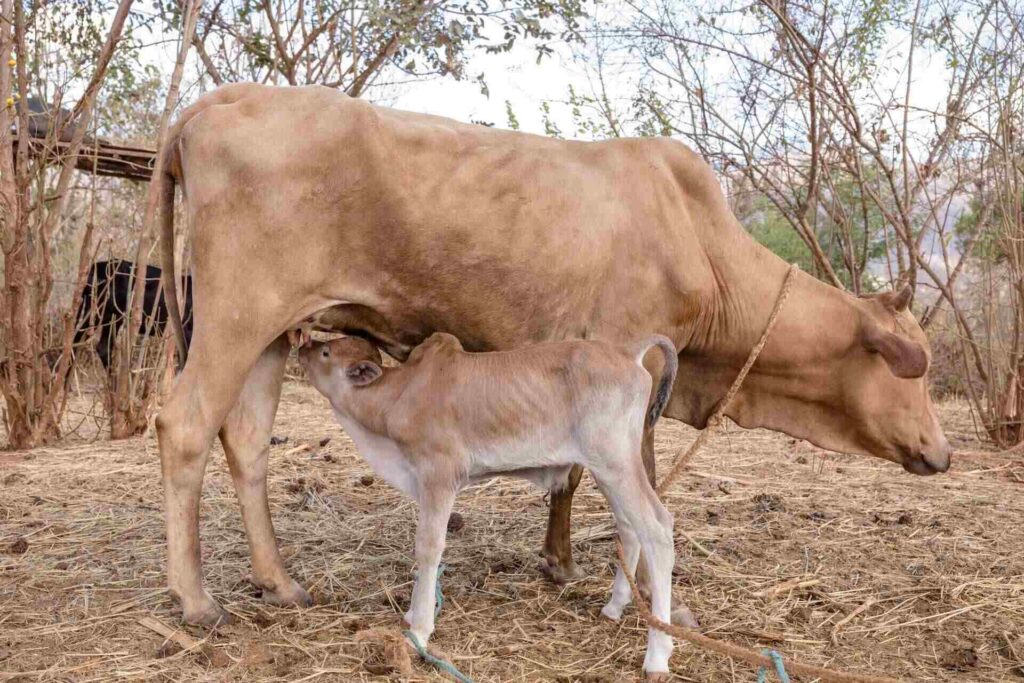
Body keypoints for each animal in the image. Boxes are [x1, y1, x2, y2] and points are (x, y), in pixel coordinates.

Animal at [153, 82, 950, 626]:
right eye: (915, 366)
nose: (944, 452)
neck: (696, 233)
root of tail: (222, 98)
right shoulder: (632, 353)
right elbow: (636, 486)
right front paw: (651, 597)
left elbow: (567, 472)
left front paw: (559, 562)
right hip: (235, 315)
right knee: (186, 426)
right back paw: (196, 599)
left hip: (273, 333)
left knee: (246, 439)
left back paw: (279, 580)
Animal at [296, 331, 679, 679]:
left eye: (326, 352)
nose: (302, 346)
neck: (399, 396)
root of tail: (628, 354)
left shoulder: (439, 476)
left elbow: (428, 547)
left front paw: (419, 628)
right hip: (608, 468)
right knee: (629, 527)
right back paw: (614, 606)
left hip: (615, 461)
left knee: (657, 528)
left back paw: (657, 656)